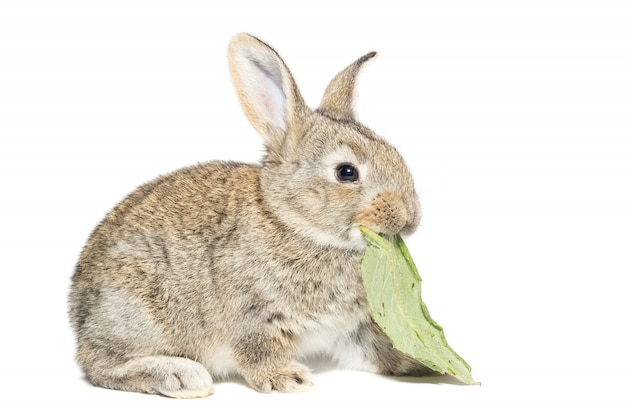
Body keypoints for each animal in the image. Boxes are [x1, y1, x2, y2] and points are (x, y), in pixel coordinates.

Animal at [68, 32, 434, 396]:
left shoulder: (351, 329)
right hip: (136, 310)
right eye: (346, 172)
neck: (293, 222)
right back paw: (181, 376)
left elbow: (376, 347)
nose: (410, 217)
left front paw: (422, 363)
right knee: (99, 365)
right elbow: (257, 352)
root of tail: (77, 316)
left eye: (394, 153)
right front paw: (289, 379)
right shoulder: (255, 317)